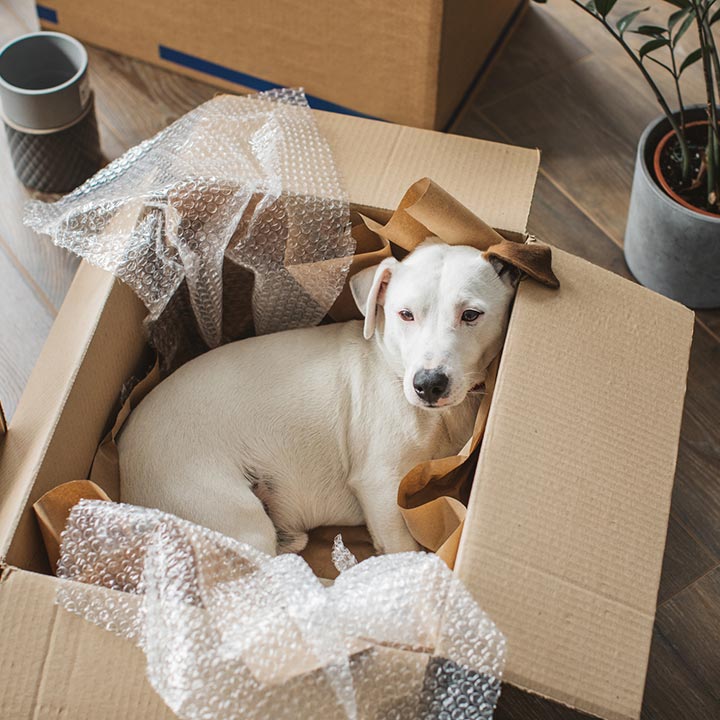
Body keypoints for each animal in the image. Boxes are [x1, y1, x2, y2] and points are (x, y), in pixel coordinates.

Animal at [118, 242, 516, 556]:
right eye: (405, 314)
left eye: (471, 315)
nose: (429, 384)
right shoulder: (380, 485)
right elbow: (403, 550)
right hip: (234, 517)